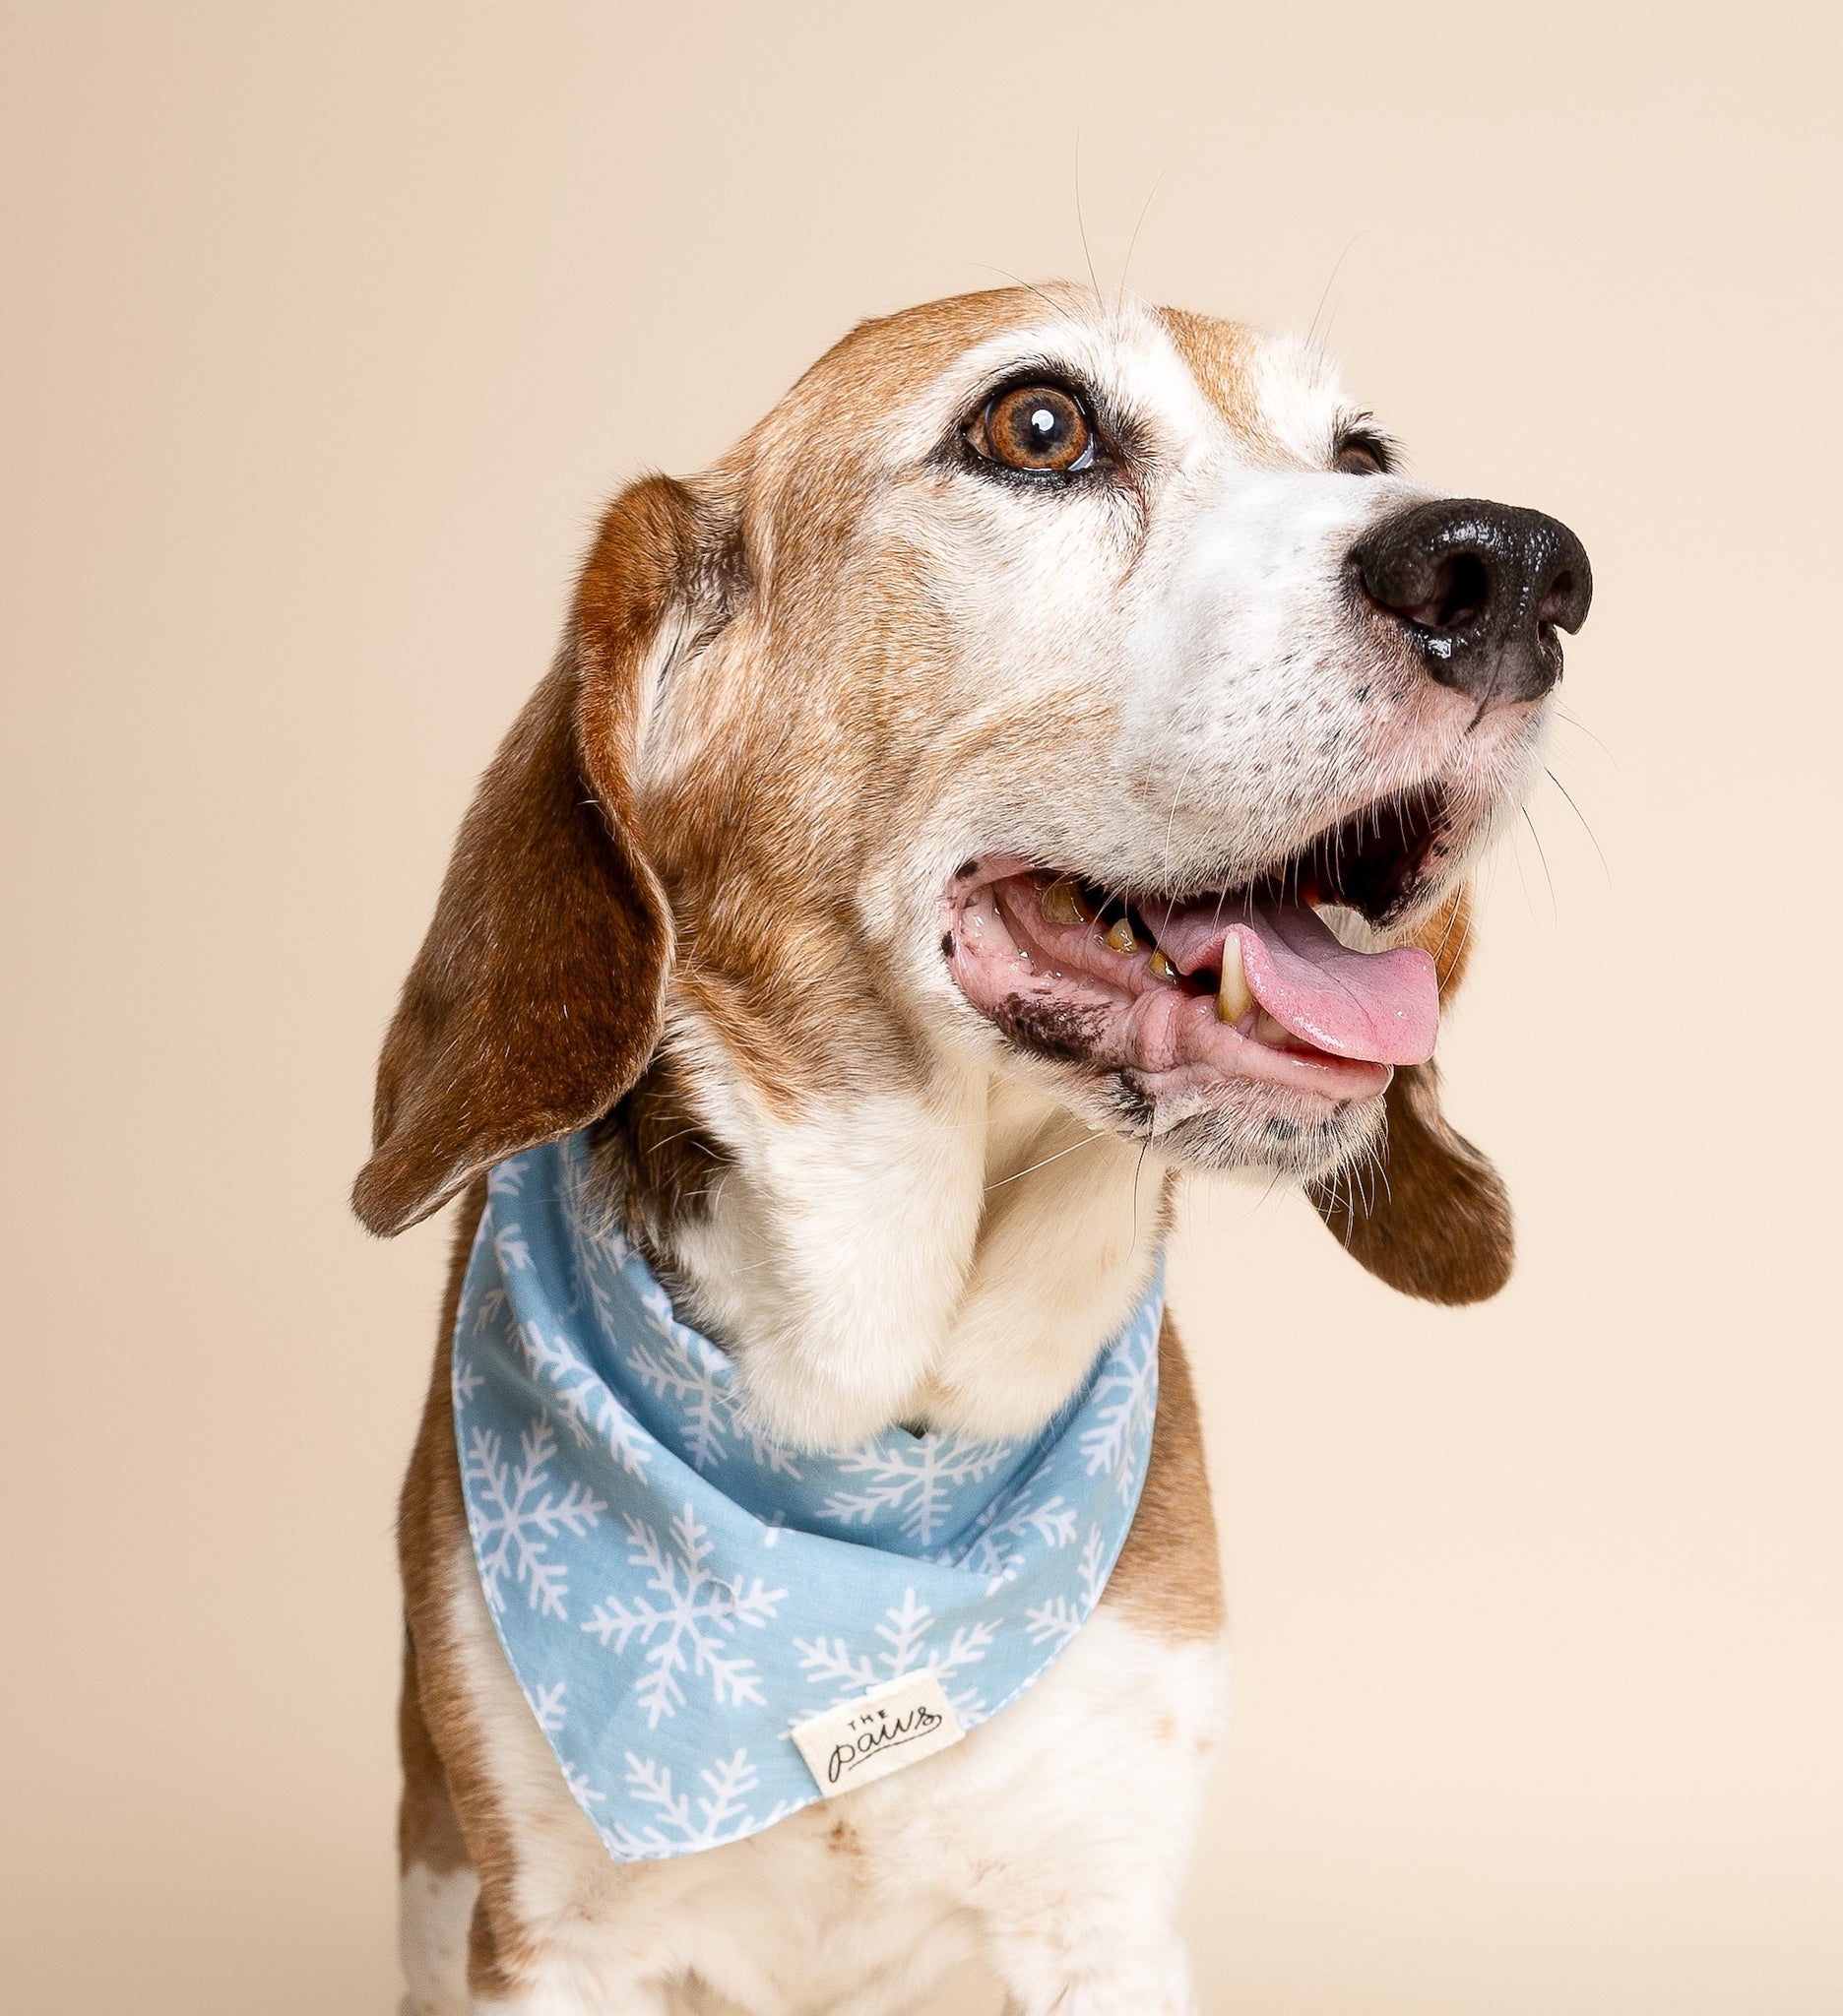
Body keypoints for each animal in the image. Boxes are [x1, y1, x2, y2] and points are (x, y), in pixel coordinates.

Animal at [352, 287, 1588, 2016]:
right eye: (1038, 427)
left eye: (1360, 454)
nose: (1520, 571)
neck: (875, 1442)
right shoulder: (550, 1947)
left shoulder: (1107, 1920)